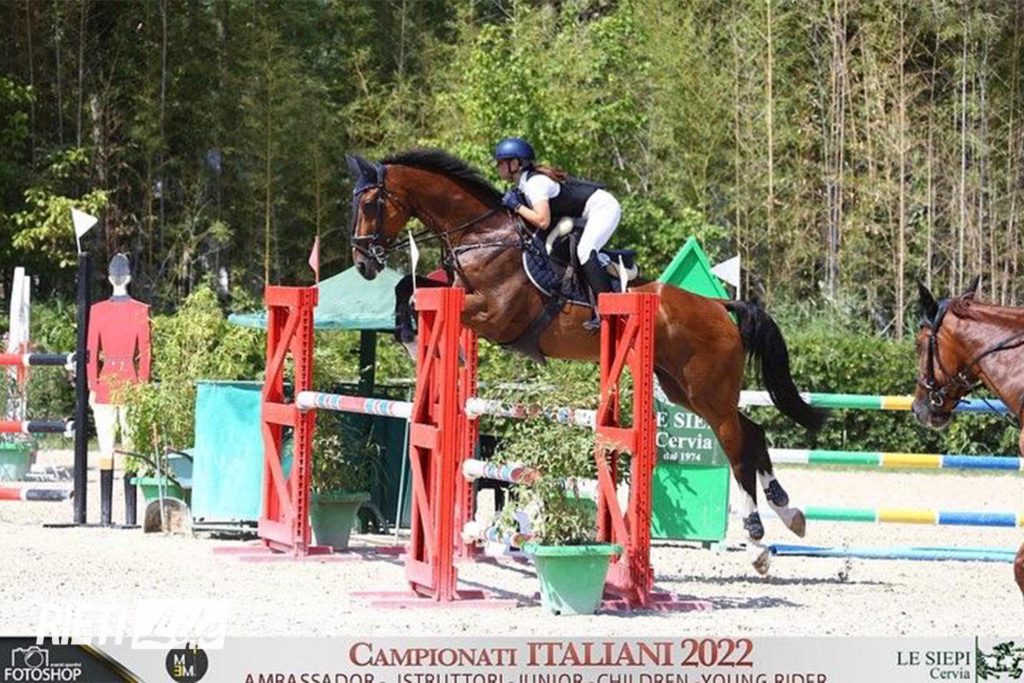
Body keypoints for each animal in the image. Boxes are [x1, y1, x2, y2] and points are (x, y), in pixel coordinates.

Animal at [346, 148, 826, 573]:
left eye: (370, 204)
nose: (362, 264)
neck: (481, 237)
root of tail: (717, 306)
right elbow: (407, 290)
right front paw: (415, 341)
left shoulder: (493, 314)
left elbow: (418, 297)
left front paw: (427, 345)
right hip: (685, 390)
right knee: (753, 432)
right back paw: (790, 514)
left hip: (708, 391)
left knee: (736, 446)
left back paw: (758, 542)